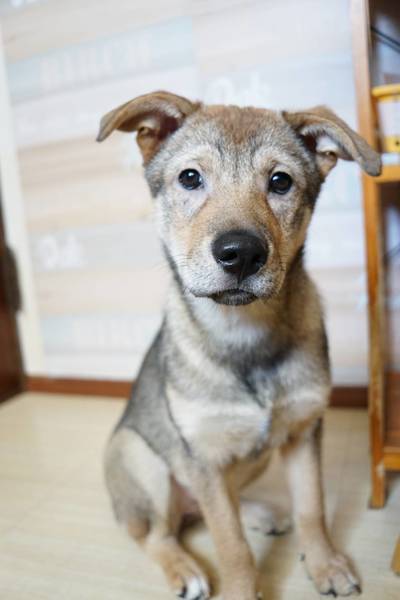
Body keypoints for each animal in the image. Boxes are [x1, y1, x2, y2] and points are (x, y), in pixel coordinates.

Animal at [97, 91, 380, 600]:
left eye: (280, 181)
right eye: (190, 177)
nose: (242, 254)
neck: (244, 332)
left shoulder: (303, 430)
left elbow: (311, 507)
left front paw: (325, 565)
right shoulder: (203, 455)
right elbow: (230, 543)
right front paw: (243, 589)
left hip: (256, 456)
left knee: (216, 504)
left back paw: (260, 513)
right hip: (139, 457)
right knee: (158, 534)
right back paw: (184, 567)